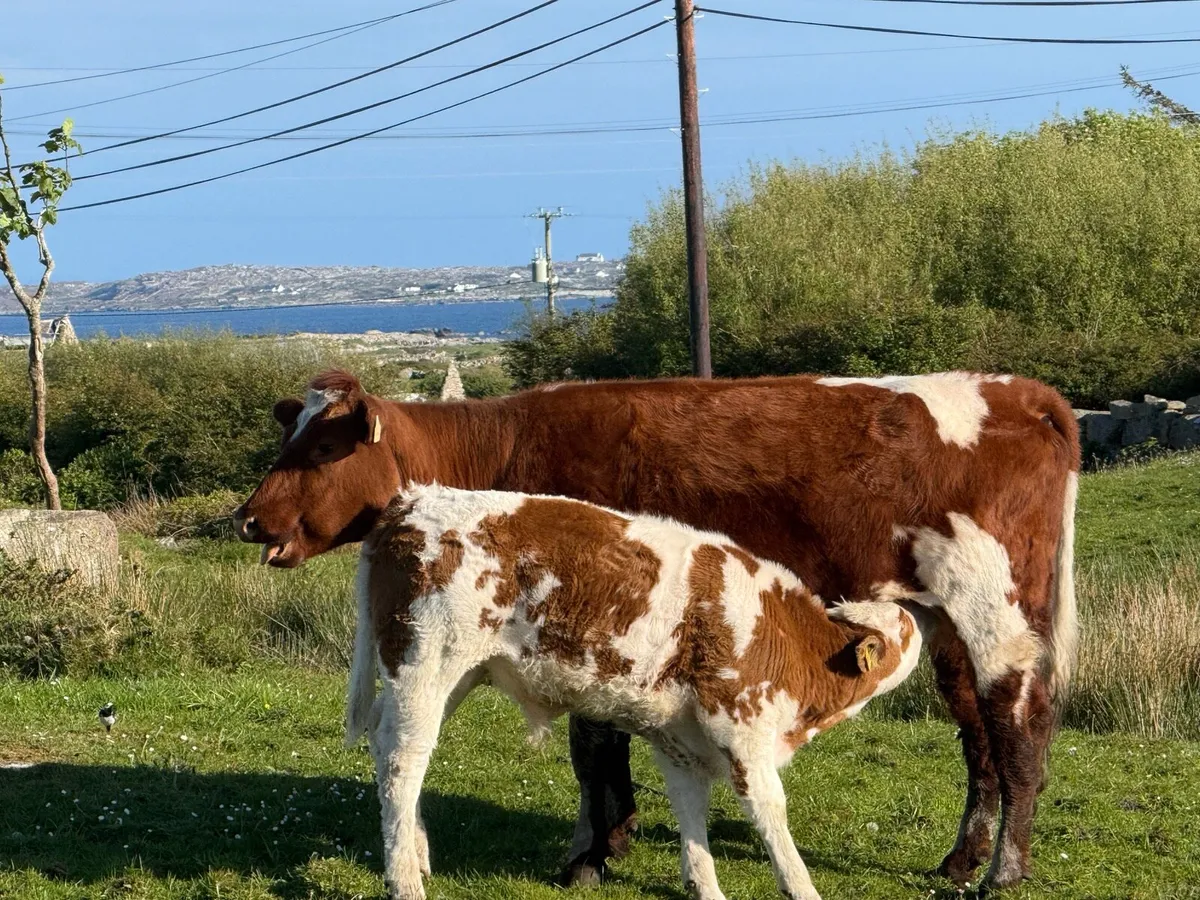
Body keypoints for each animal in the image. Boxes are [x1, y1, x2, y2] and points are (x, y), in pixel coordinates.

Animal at [345, 483, 928, 900]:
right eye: (904, 629)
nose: (919, 613)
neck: (788, 640)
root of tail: (411, 500)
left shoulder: (681, 744)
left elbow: (691, 813)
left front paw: (706, 887)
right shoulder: (741, 729)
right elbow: (770, 813)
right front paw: (802, 887)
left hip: (453, 675)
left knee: (387, 741)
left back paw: (418, 854)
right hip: (425, 662)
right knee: (403, 760)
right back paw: (405, 879)